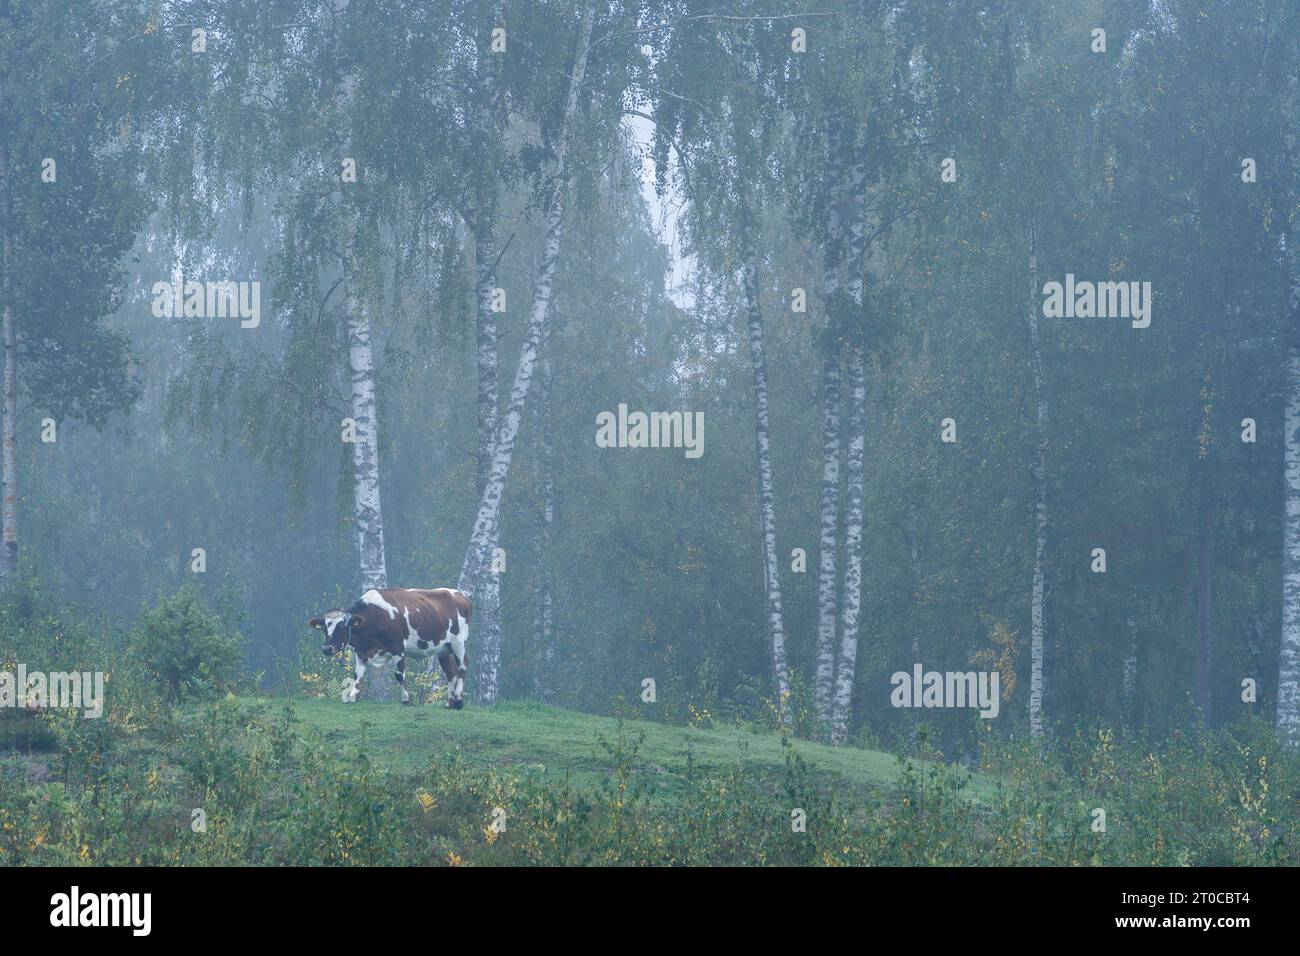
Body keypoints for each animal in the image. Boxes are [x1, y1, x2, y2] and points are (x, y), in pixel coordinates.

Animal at [309, 587, 471, 708]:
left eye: (342, 627)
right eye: (324, 628)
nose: (326, 648)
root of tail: (461, 596)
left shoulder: (397, 648)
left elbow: (399, 674)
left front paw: (406, 699)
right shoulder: (361, 652)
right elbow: (358, 675)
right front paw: (353, 696)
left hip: (458, 642)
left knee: (462, 667)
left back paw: (458, 701)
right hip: (443, 649)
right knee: (451, 673)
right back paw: (449, 703)